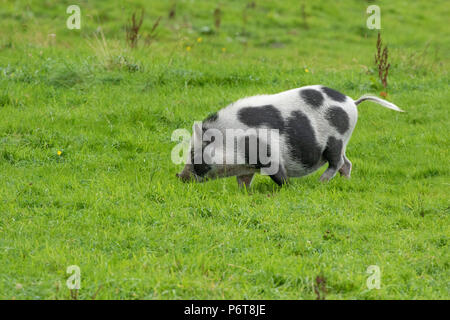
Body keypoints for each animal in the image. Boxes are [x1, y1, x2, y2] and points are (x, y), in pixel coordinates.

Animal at [175, 85, 400, 190]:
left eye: (194, 154)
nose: (180, 176)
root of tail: (352, 102)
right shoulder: (247, 167)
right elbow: (243, 181)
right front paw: (243, 193)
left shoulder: (270, 154)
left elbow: (279, 176)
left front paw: (289, 187)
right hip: (342, 143)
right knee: (347, 163)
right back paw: (345, 182)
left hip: (336, 140)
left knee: (336, 162)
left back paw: (320, 182)